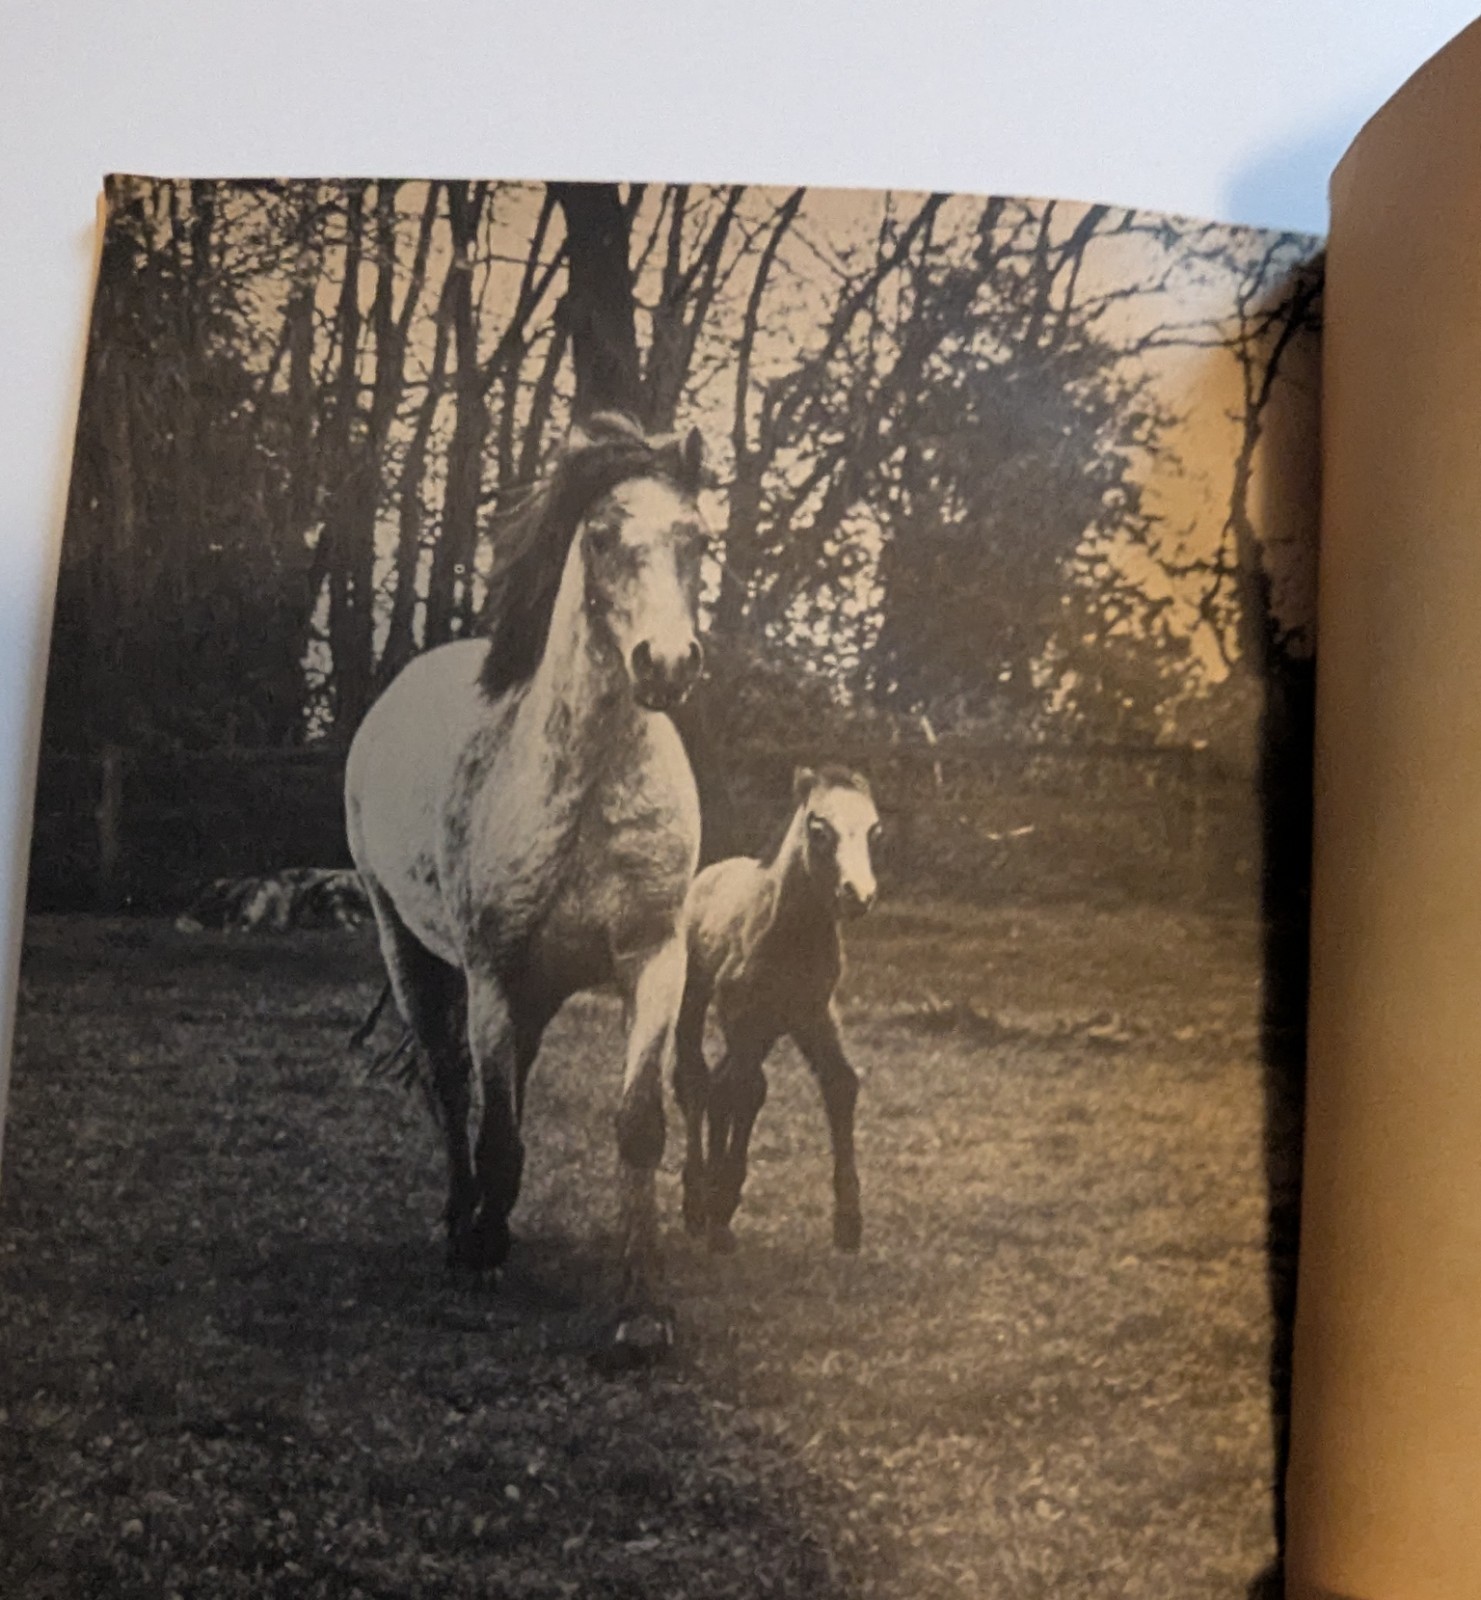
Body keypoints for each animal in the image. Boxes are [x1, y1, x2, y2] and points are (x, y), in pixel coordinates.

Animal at [344, 413, 709, 1316]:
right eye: (604, 536)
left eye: (696, 538)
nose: (667, 665)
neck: (586, 789)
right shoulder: (492, 972)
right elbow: (494, 1124)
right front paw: (479, 1250)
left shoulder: (653, 959)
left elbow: (636, 1121)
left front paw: (642, 1308)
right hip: (407, 947)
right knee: (450, 1080)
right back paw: (460, 1219)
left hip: (533, 989)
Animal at [674, 765, 880, 1255]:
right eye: (819, 830)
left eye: (874, 830)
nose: (859, 895)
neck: (792, 935)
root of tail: (710, 873)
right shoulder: (743, 1013)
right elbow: (745, 1090)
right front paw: (720, 1214)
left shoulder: (811, 1012)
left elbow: (840, 1084)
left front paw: (848, 1223)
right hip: (701, 1001)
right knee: (697, 1079)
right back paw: (697, 1204)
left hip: (766, 1028)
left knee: (720, 1081)